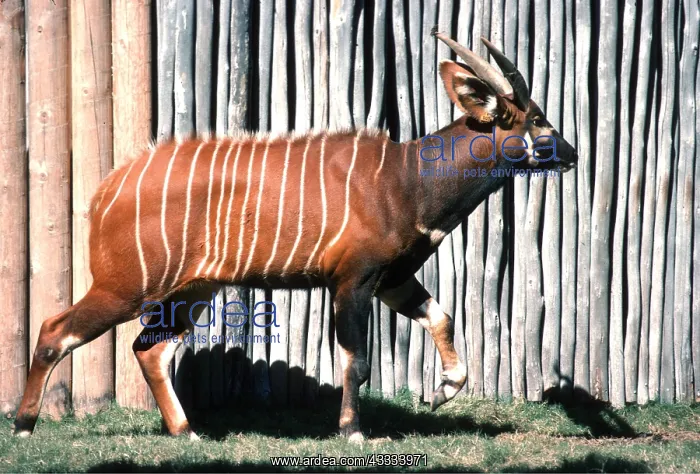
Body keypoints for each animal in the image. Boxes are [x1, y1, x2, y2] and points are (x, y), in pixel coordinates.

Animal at [14, 33, 577, 442]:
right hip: (125, 288)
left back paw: (187, 433)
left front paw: (435, 396)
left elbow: (441, 319)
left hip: (191, 291)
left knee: (149, 350)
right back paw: (22, 428)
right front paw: (352, 432)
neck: (406, 178)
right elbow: (355, 360)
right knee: (54, 331)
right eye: (537, 119)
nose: (571, 153)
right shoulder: (352, 281)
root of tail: (106, 191)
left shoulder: (392, 279)